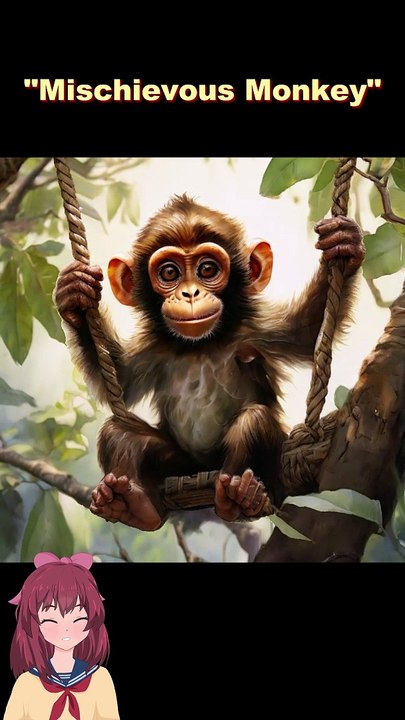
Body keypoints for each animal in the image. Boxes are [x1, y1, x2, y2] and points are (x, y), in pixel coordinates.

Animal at [54, 194, 365, 531]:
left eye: (207, 269)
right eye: (169, 273)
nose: (190, 293)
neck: (201, 345)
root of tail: (204, 471)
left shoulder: (258, 331)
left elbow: (307, 332)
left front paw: (344, 245)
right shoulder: (151, 350)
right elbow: (122, 381)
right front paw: (74, 293)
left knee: (254, 421)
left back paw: (241, 498)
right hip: (179, 466)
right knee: (119, 431)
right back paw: (134, 505)